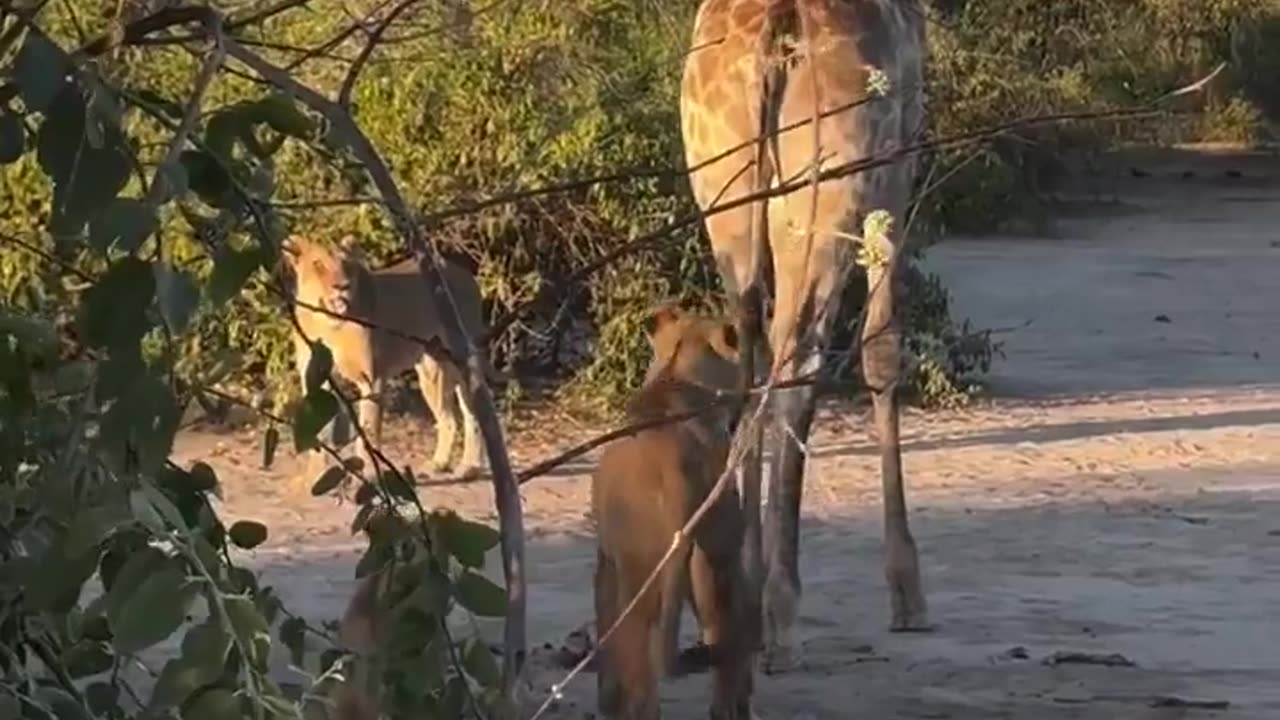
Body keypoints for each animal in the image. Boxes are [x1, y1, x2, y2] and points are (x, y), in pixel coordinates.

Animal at [284, 237, 488, 481]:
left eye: (347, 264)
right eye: (318, 264)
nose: (342, 286)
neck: (328, 323)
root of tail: (465, 273)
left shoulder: (371, 378)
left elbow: (370, 431)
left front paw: (369, 477)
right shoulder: (315, 378)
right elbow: (319, 431)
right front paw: (314, 477)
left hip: (464, 359)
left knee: (473, 415)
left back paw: (470, 466)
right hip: (431, 369)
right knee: (448, 418)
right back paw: (438, 464)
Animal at [593, 302, 752, 717]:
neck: (675, 377)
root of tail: (669, 465)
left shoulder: (608, 561)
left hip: (643, 578)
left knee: (639, 679)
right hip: (709, 562)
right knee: (727, 648)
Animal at [680, 0, 931, 666]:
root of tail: (779, 29)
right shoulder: (897, 169)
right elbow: (881, 349)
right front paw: (908, 592)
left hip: (727, 198)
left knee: (750, 363)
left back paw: (743, 596)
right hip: (821, 200)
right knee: (796, 370)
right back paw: (780, 608)